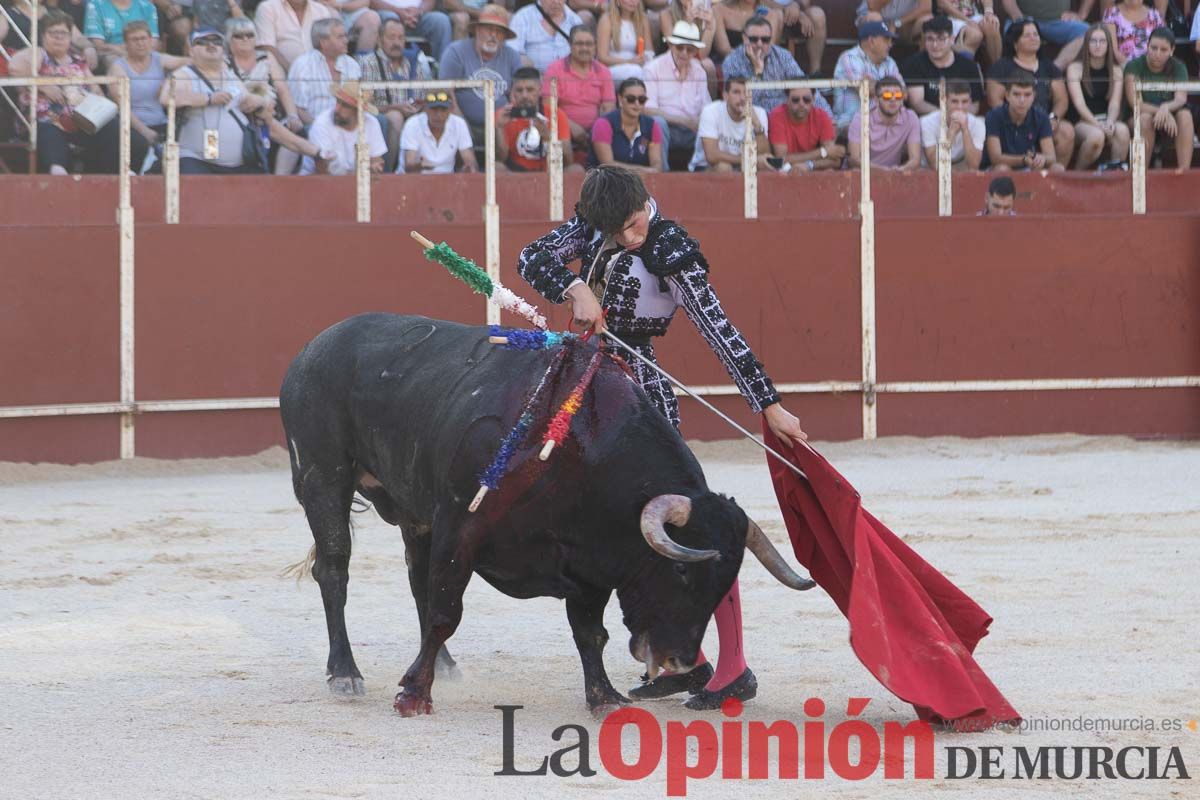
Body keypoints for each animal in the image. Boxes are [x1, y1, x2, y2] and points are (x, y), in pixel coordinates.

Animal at [278, 314, 816, 719]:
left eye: (725, 583)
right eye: (682, 571)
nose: (679, 662)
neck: (572, 451)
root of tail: (311, 349)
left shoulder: (589, 559)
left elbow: (590, 631)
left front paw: (604, 698)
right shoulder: (460, 526)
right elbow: (446, 612)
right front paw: (413, 695)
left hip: (413, 509)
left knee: (415, 580)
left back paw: (445, 666)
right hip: (323, 478)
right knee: (336, 570)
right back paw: (345, 674)